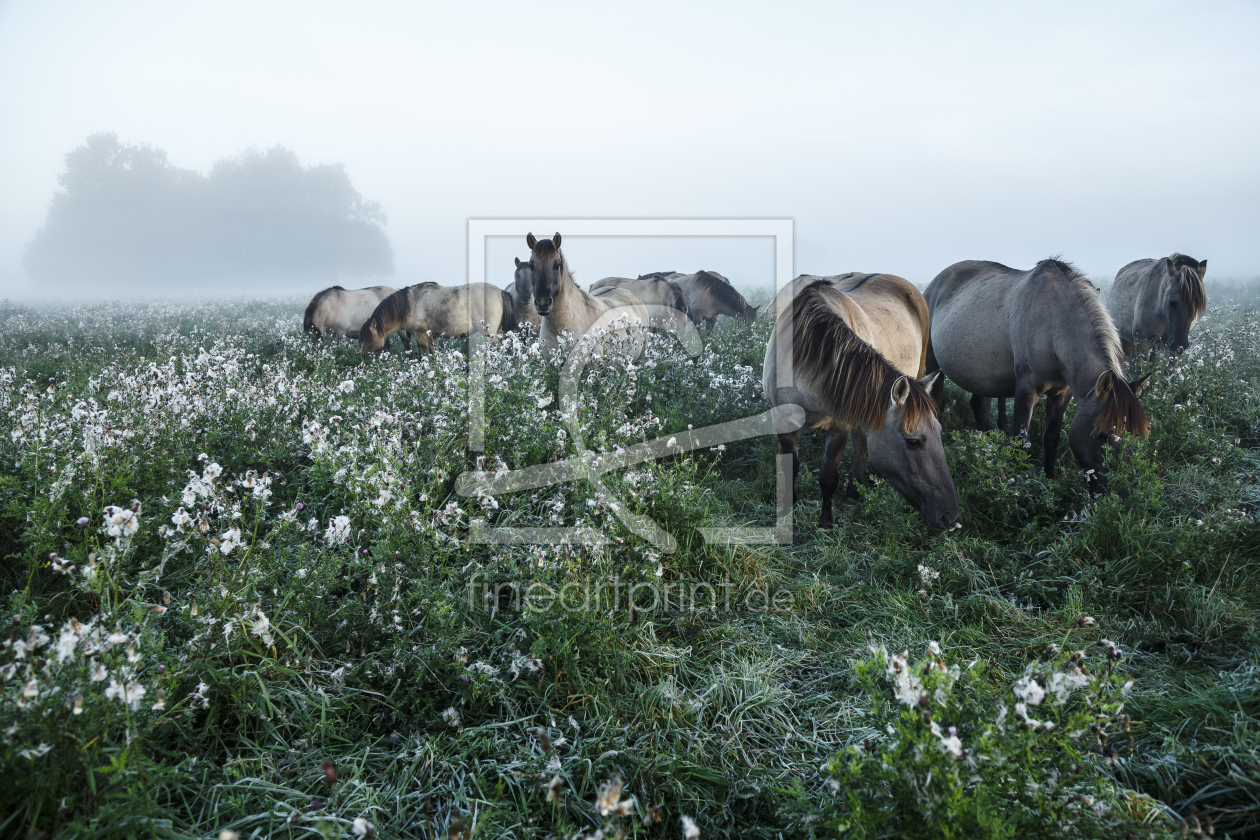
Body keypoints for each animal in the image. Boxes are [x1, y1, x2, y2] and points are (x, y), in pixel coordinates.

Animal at [357, 279, 514, 352]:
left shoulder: (420, 335)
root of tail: (500, 291)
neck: (410, 304)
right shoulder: (432, 336)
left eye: (368, 339)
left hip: (490, 334)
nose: (364, 357)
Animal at [761, 273, 957, 528]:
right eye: (913, 442)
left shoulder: (840, 426)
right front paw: (787, 510)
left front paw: (825, 522)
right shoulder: (783, 421)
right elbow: (790, 467)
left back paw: (852, 492)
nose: (950, 515)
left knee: (860, 445)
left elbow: (828, 476)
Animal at [922, 259, 1149, 488]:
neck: (1053, 325)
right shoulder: (1027, 389)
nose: (1121, 490)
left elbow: (1051, 438)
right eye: (1104, 435)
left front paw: (1048, 479)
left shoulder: (1061, 393)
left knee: (980, 408)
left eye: (1140, 435)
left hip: (983, 379)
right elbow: (1020, 441)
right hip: (933, 366)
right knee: (938, 403)